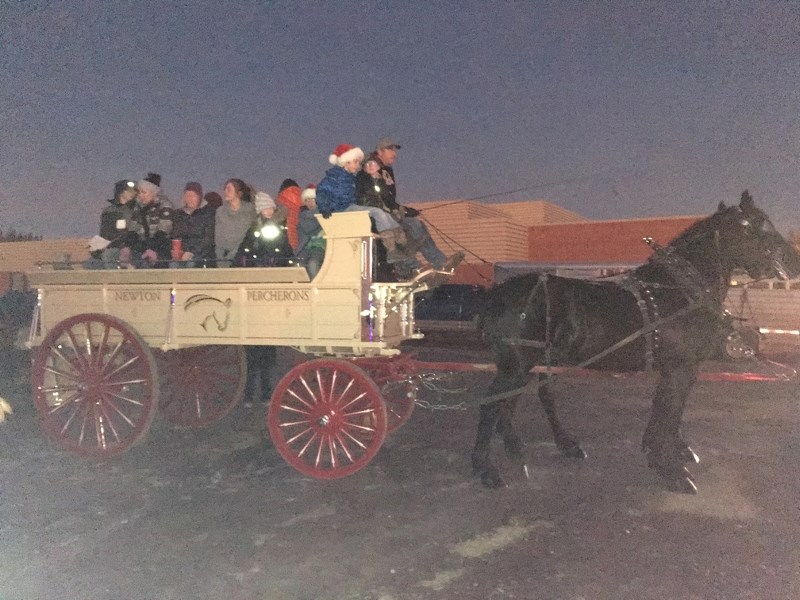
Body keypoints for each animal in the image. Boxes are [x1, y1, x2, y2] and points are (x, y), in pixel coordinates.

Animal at [472, 191, 796, 492]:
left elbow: (667, 411)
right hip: (516, 364)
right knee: (492, 405)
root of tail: (496, 293)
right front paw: (672, 470)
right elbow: (668, 413)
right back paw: (487, 469)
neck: (679, 288)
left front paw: (663, 453)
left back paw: (529, 449)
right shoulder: (679, 368)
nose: (793, 259)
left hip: (530, 362)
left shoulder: (680, 369)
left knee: (518, 400)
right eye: (758, 225)